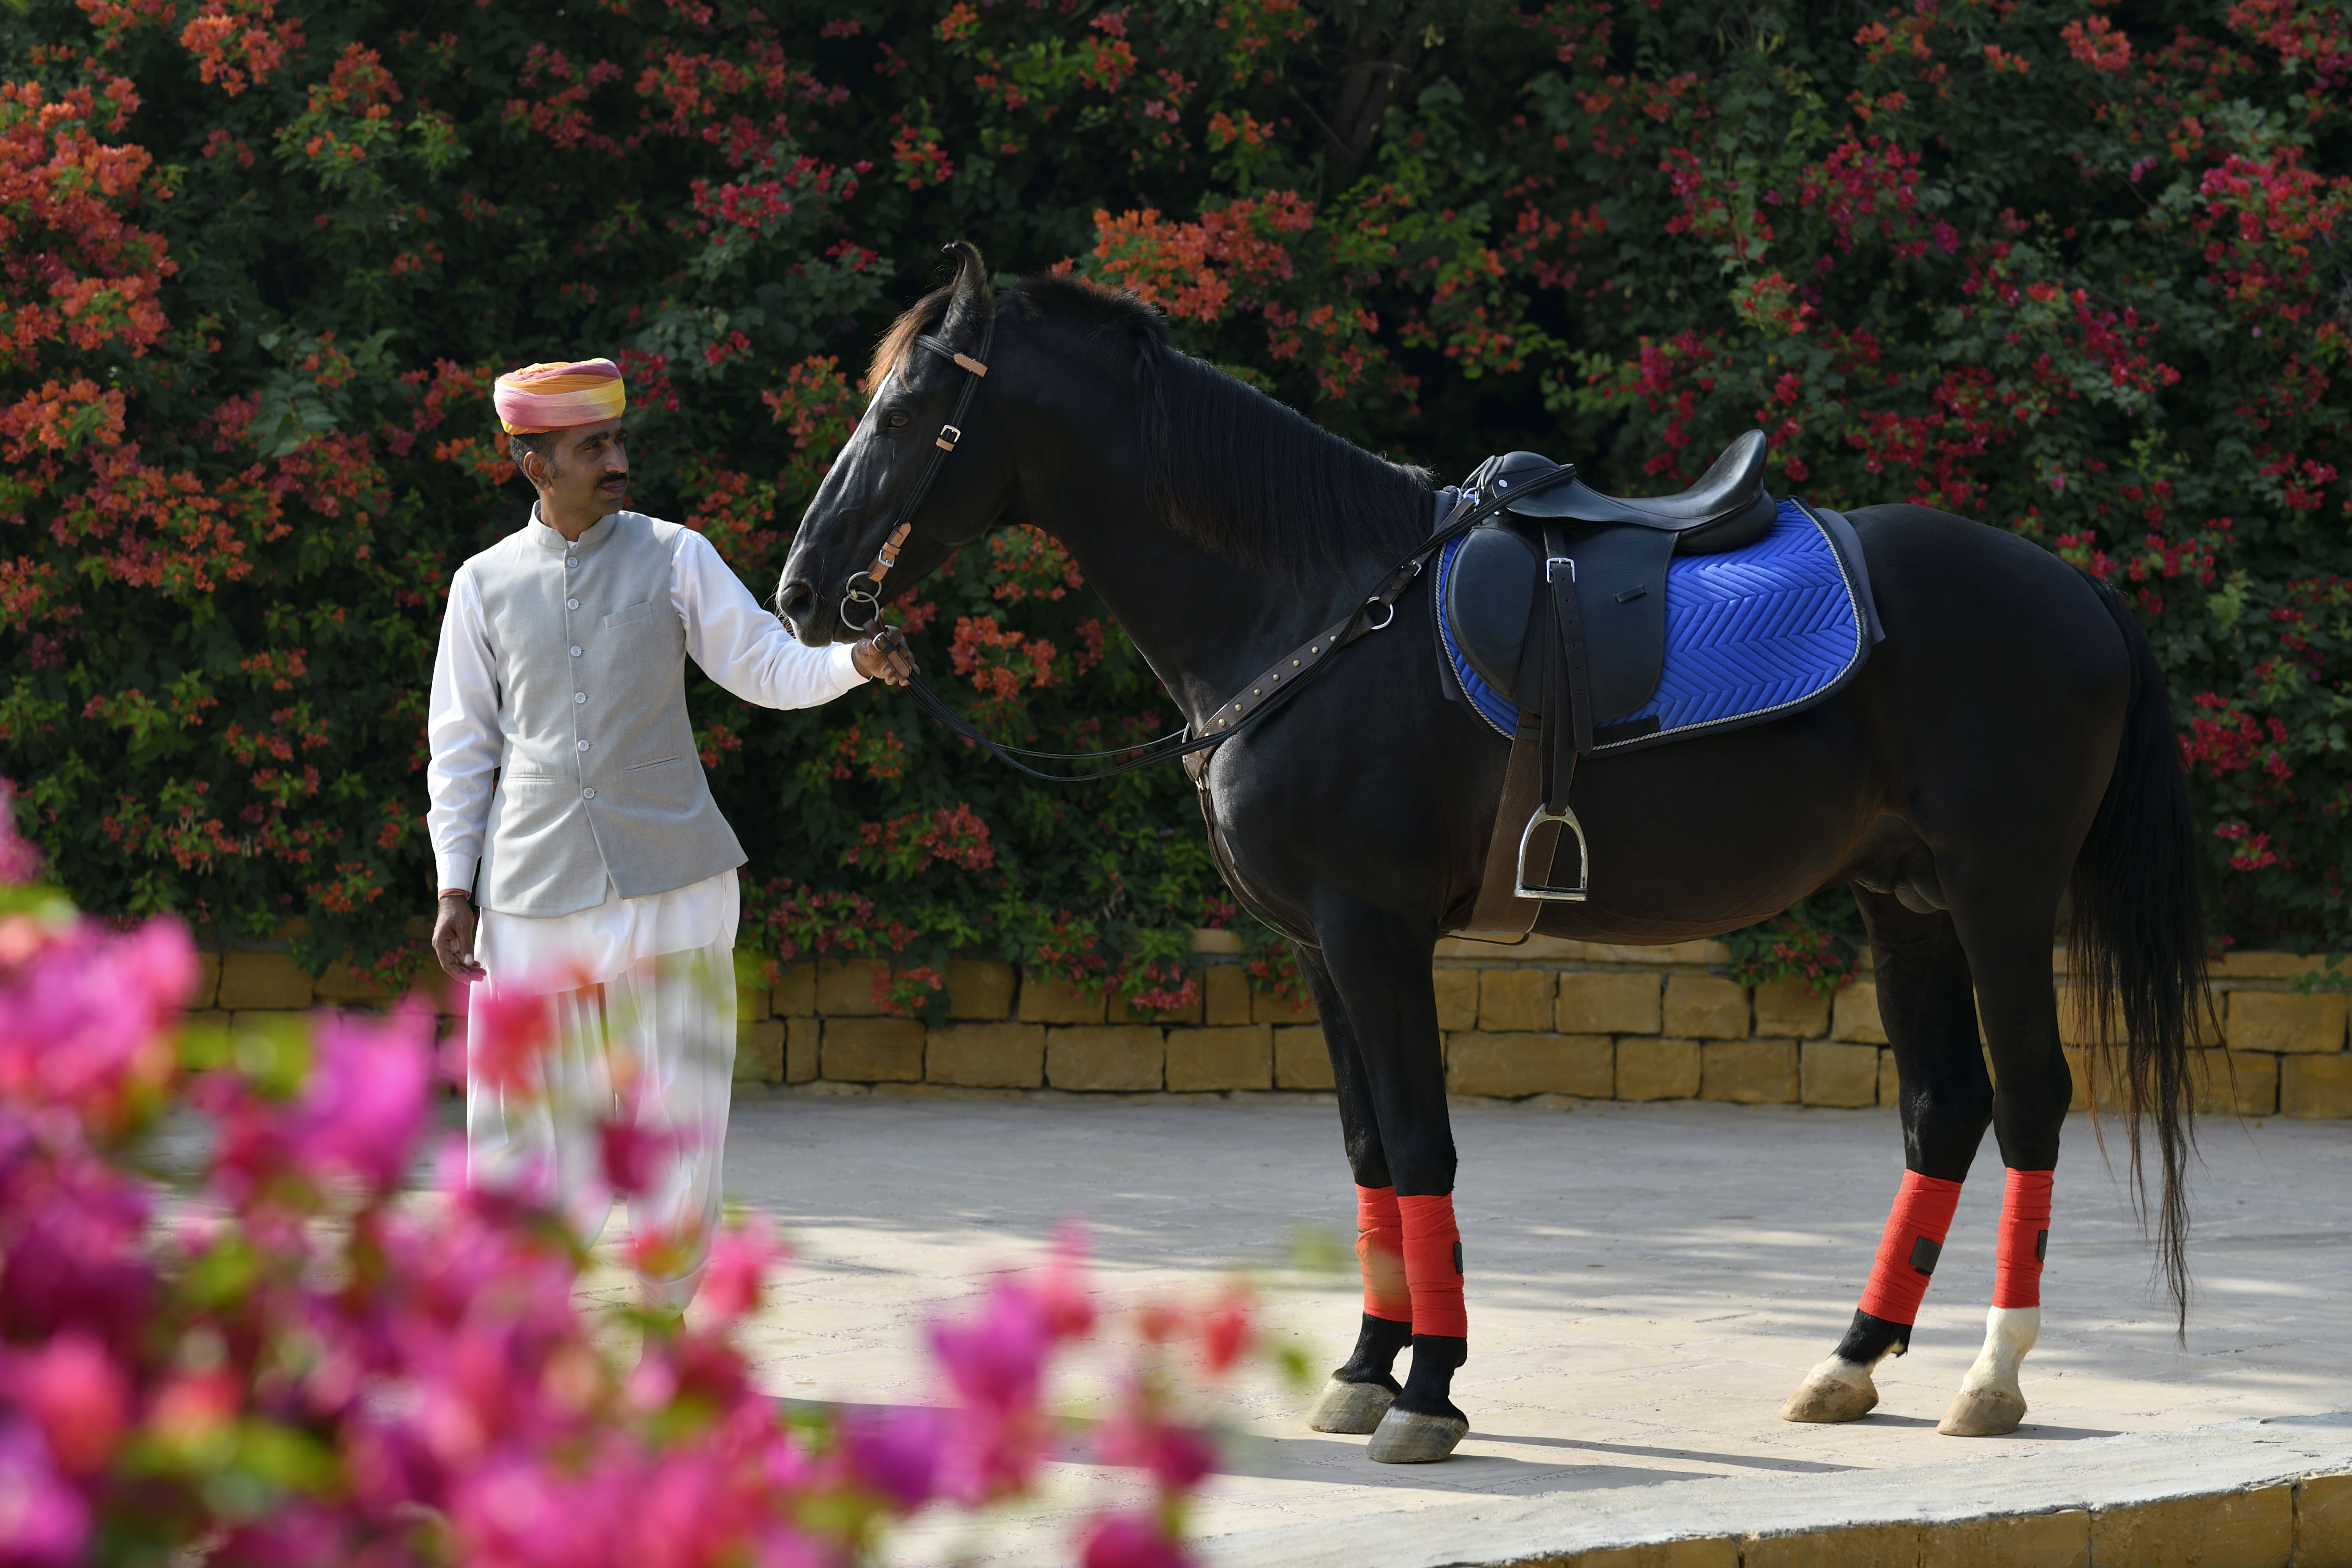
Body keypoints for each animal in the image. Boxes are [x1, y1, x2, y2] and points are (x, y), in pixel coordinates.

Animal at [775, 243, 2206, 1464]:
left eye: (911, 408)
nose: (802, 590)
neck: (1317, 605)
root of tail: (2077, 590)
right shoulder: (1319, 946)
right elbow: (1366, 1150)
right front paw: (1364, 1369)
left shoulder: (1375, 927)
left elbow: (1420, 1144)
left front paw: (1428, 1389)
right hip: (1902, 901)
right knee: (1943, 1106)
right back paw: (1853, 1357)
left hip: (1998, 893)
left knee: (2028, 1099)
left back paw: (1991, 1376)